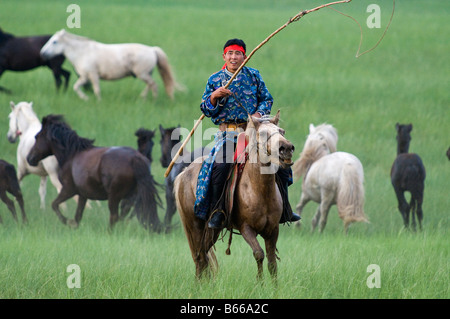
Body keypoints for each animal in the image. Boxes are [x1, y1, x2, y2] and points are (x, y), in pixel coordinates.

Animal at [26, 115, 162, 232]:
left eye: (37, 137)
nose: (29, 158)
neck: (72, 155)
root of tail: (135, 158)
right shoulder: (82, 194)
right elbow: (78, 215)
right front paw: (74, 225)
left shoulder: (69, 189)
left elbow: (54, 205)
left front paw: (68, 222)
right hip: (131, 196)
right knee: (122, 215)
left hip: (114, 197)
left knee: (114, 216)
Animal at [39, 29, 184, 101]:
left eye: (54, 42)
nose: (42, 53)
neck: (82, 52)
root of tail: (152, 49)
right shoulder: (85, 77)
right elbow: (76, 87)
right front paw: (85, 98)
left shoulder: (93, 75)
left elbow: (96, 89)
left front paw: (98, 101)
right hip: (145, 74)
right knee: (150, 85)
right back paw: (143, 98)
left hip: (142, 74)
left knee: (154, 85)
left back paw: (153, 100)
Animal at [173, 111, 296, 282]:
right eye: (262, 133)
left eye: (281, 131)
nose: (287, 148)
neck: (259, 189)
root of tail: (183, 173)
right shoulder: (246, 227)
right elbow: (259, 254)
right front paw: (260, 283)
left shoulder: (273, 229)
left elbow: (272, 263)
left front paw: (274, 286)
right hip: (195, 225)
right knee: (200, 258)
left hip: (212, 230)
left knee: (203, 256)